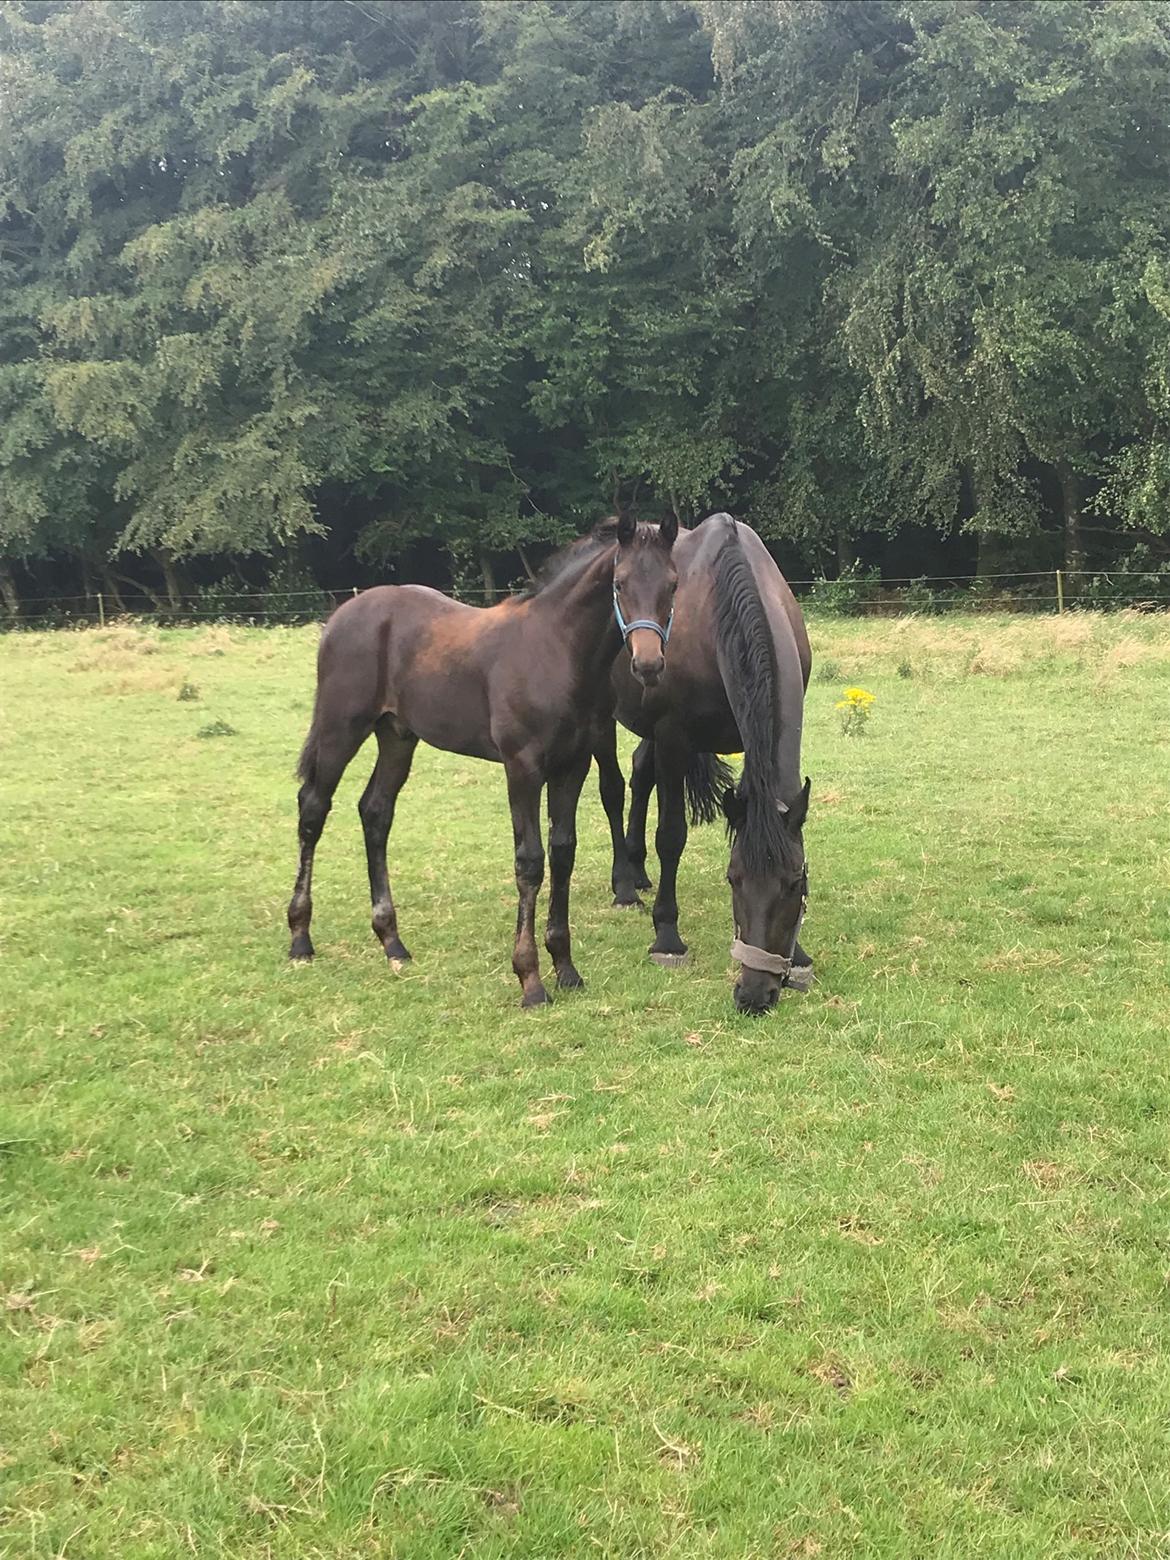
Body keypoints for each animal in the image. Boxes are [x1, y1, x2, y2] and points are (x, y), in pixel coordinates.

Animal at [287, 511, 683, 998]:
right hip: (340, 728)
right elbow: (530, 862)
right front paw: (530, 980)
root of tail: (343, 614)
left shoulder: (571, 766)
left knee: (375, 812)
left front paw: (566, 968)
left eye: (673, 584)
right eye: (620, 582)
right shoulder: (522, 767)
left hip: (397, 735)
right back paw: (300, 938)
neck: (555, 649)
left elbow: (563, 854)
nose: (648, 665)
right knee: (313, 808)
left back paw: (392, 941)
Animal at [599, 517, 811, 1017]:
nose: (754, 994)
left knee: (640, 774)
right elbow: (671, 836)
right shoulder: (673, 737)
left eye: (795, 883)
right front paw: (667, 938)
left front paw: (801, 955)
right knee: (613, 788)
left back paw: (638, 871)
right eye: (732, 880)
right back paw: (625, 886)